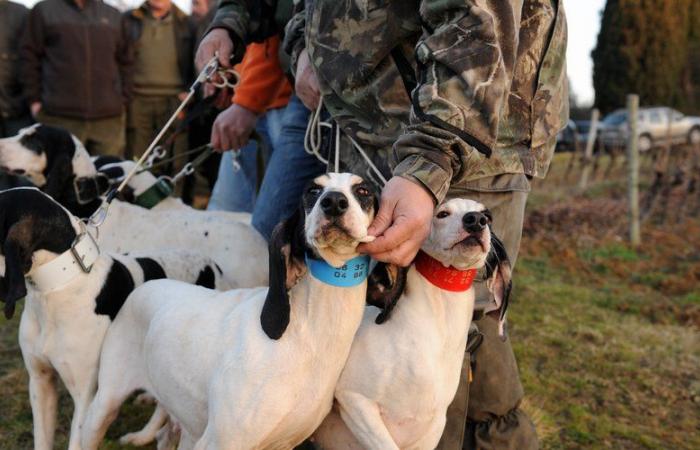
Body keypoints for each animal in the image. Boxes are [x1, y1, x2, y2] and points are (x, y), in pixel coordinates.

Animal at [80, 174, 382, 450]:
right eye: (312, 191)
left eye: (363, 190)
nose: (334, 203)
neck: (306, 335)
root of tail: (149, 284)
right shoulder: (219, 442)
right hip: (103, 407)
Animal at [314, 198, 512, 450]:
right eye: (442, 213)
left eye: (488, 216)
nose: (476, 221)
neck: (437, 333)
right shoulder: (355, 400)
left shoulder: (434, 427)